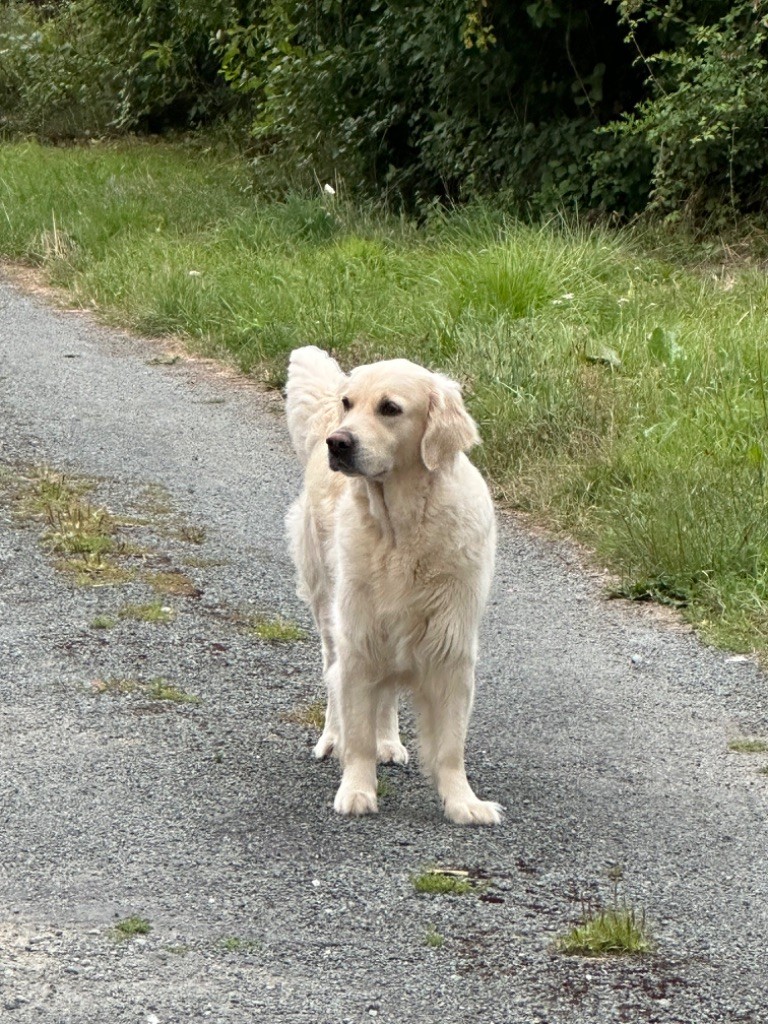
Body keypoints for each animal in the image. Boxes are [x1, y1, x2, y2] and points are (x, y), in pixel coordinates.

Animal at [286, 344, 501, 823]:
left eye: (390, 408)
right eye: (350, 403)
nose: (338, 442)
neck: (401, 529)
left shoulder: (450, 647)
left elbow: (450, 747)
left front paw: (464, 802)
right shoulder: (358, 636)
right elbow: (357, 728)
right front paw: (356, 790)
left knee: (383, 698)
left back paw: (388, 741)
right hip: (329, 605)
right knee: (333, 676)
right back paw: (332, 738)